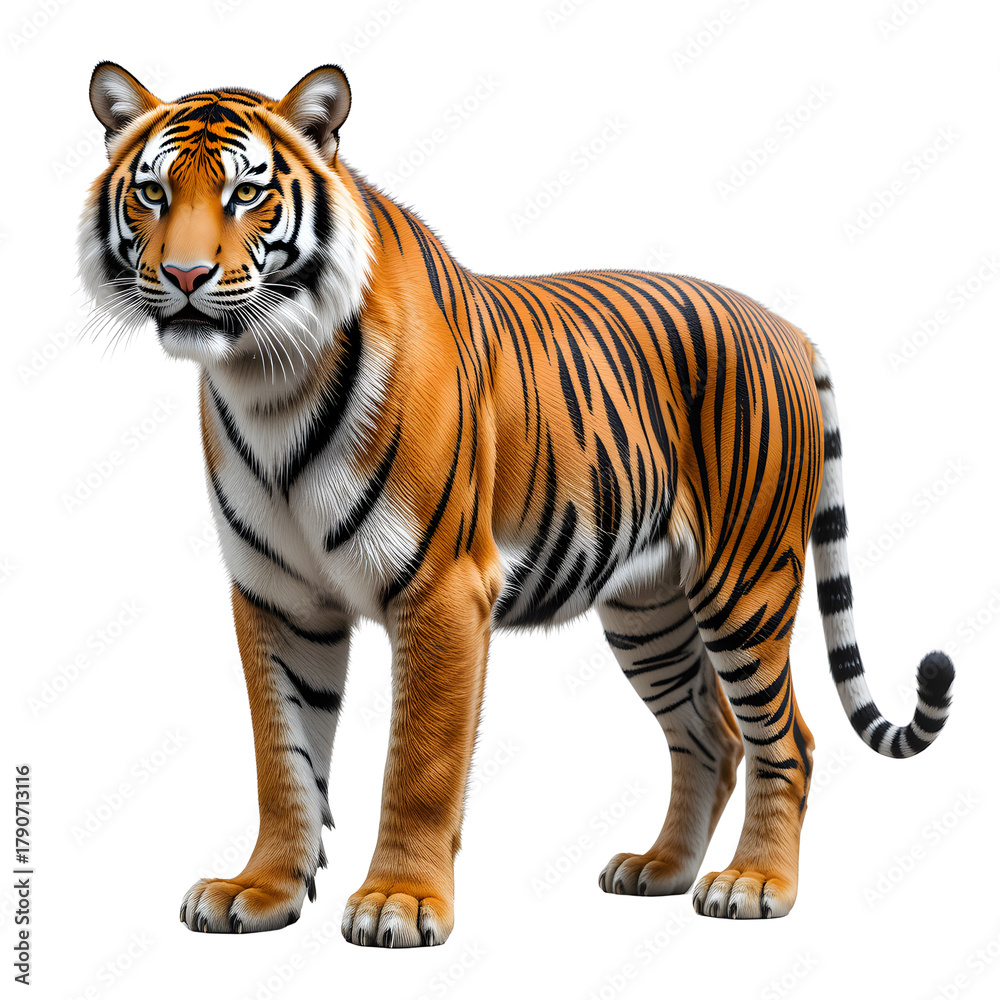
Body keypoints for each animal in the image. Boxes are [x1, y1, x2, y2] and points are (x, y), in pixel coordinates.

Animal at [79, 62, 955, 945]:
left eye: (247, 193)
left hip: (747, 582)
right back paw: (660, 870)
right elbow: (280, 754)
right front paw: (258, 891)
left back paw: (753, 884)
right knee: (711, 734)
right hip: (648, 608)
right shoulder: (277, 596)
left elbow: (420, 763)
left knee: (788, 741)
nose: (186, 278)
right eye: (152, 193)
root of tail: (786, 327)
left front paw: (399, 901)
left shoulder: (441, 588)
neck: (268, 377)